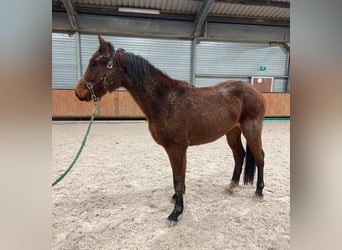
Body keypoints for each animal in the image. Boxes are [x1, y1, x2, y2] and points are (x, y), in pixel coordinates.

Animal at [75, 35, 268, 223]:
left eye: (95, 63)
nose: (78, 92)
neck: (164, 99)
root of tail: (256, 93)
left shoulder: (177, 149)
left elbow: (178, 180)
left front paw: (176, 213)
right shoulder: (172, 150)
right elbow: (176, 177)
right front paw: (176, 200)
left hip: (251, 130)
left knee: (259, 157)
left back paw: (258, 192)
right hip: (232, 132)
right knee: (239, 155)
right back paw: (232, 185)